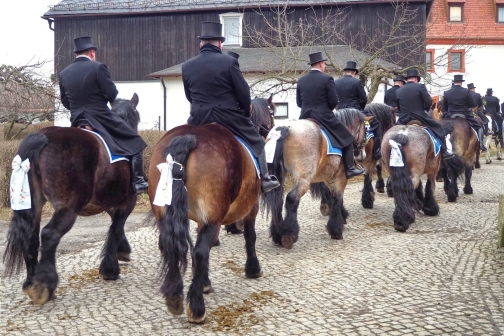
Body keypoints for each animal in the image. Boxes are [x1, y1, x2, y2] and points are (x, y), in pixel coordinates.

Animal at [3, 93, 142, 304]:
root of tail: (42, 137)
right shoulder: (127, 201)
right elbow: (116, 227)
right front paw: (111, 268)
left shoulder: (108, 202)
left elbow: (115, 226)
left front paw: (122, 250)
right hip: (69, 206)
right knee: (50, 234)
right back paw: (44, 285)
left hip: (33, 203)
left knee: (32, 236)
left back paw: (31, 282)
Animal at [148, 122, 262, 322]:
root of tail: (190, 136)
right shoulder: (251, 205)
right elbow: (250, 236)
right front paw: (253, 268)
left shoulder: (203, 219)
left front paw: (204, 282)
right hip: (215, 217)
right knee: (201, 252)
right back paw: (196, 308)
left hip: (164, 215)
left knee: (170, 247)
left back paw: (175, 297)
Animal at [262, 109, 368, 248]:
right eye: (365, 129)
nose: (362, 154)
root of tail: (284, 128)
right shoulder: (340, 178)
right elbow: (338, 198)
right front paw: (336, 230)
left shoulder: (328, 178)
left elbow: (334, 197)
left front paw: (342, 216)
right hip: (304, 179)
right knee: (291, 198)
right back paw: (289, 234)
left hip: (279, 177)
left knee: (278, 201)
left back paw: (277, 235)